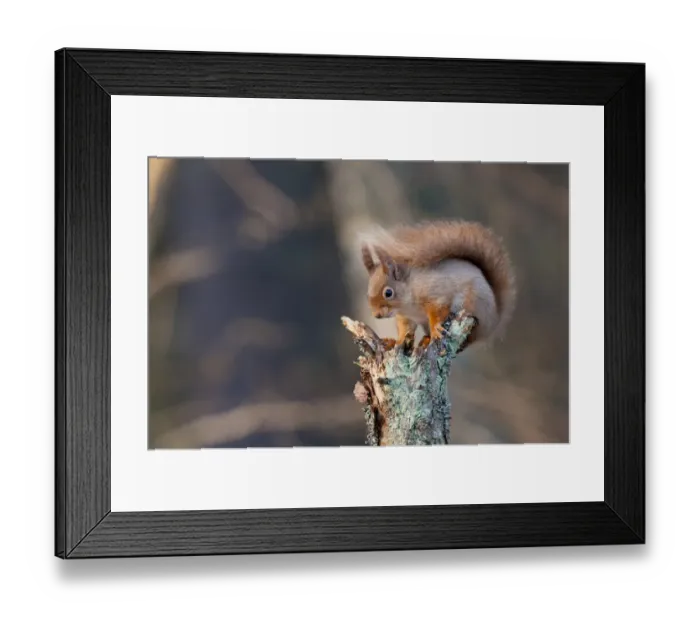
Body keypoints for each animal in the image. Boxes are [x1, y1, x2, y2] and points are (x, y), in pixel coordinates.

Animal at [359, 219, 517, 351]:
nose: (377, 315)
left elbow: (438, 311)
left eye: (388, 293)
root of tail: (495, 320)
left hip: (473, 305)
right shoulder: (406, 317)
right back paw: (425, 340)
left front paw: (435, 329)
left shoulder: (436, 294)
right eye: (367, 294)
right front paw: (397, 341)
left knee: (468, 340)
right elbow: (406, 330)